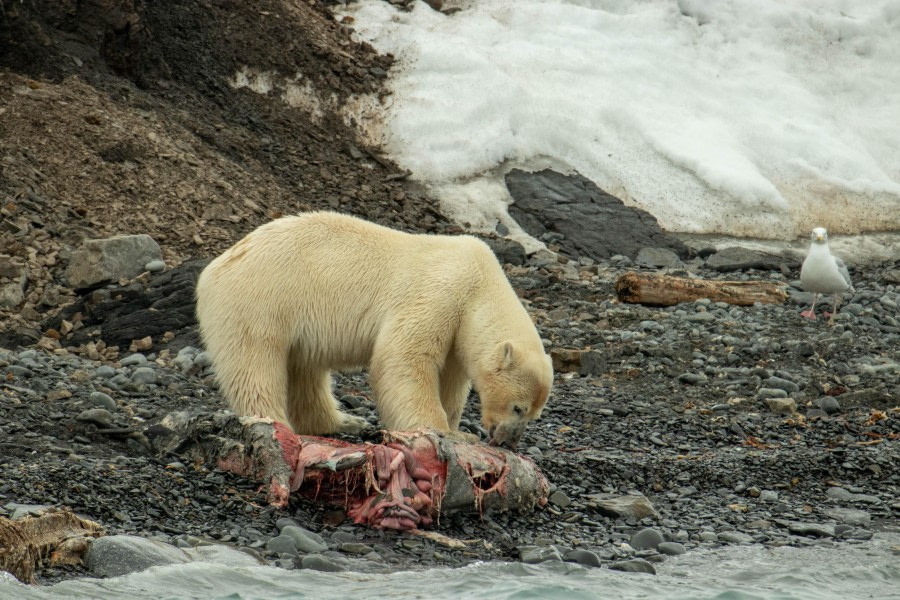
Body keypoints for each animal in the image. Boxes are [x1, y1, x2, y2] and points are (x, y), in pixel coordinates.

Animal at [193, 211, 552, 450]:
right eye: (517, 407)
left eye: (533, 415)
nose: (508, 441)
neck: (479, 282)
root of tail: (214, 268)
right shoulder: (440, 293)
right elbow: (404, 356)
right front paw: (442, 431)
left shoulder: (457, 331)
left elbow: (451, 379)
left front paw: (457, 427)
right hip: (261, 302)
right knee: (255, 367)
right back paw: (276, 425)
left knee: (304, 373)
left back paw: (345, 421)